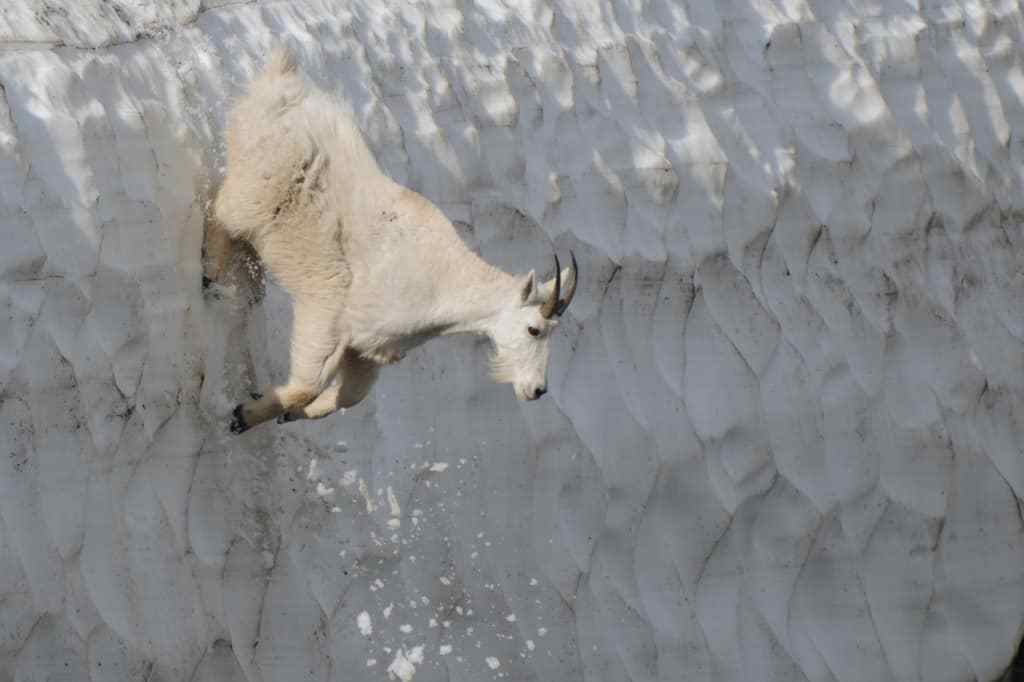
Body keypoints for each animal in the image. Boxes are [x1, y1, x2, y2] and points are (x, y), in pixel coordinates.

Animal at [203, 47, 581, 432]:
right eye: (534, 329)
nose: (537, 389)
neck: (442, 287)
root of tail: (281, 81)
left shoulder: (367, 349)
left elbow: (350, 396)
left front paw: (287, 414)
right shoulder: (331, 310)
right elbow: (307, 384)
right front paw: (242, 415)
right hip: (258, 188)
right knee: (221, 212)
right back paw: (211, 273)